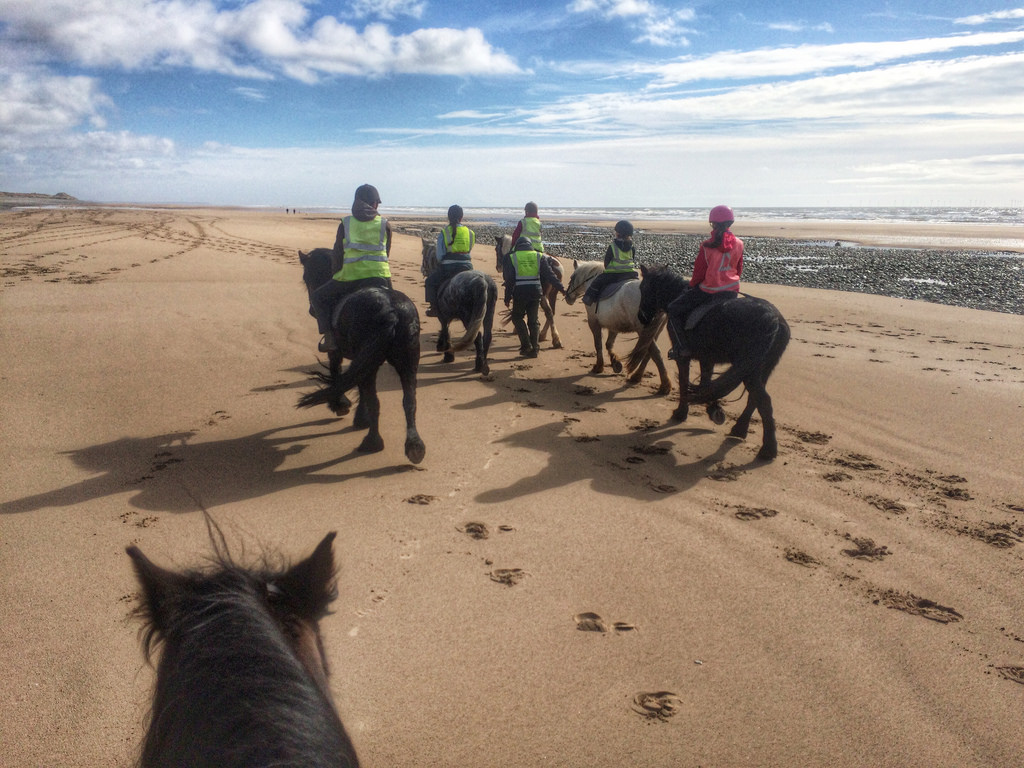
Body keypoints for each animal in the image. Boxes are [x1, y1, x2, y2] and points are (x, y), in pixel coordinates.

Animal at [297, 248, 425, 464]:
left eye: (306, 277)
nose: (311, 309)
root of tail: (392, 311)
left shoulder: (338, 353)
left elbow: (337, 374)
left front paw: (341, 405)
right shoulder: (364, 360)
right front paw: (358, 417)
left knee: (375, 401)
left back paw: (372, 442)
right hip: (408, 362)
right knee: (409, 400)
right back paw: (414, 447)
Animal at [420, 236, 498, 376]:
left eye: (423, 253)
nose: (422, 269)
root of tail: (482, 281)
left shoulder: (443, 317)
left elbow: (445, 331)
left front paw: (447, 354)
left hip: (468, 318)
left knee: (477, 337)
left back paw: (479, 365)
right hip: (489, 313)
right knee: (487, 336)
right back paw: (484, 364)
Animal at [563, 259, 672, 394]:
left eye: (572, 277)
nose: (567, 297)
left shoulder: (593, 322)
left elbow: (598, 344)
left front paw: (599, 366)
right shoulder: (614, 325)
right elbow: (609, 344)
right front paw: (616, 364)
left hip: (643, 330)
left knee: (654, 353)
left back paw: (665, 385)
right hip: (654, 331)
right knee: (649, 353)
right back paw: (637, 377)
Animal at [627, 264, 790, 460]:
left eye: (643, 288)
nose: (642, 317)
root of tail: (774, 319)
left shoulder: (683, 357)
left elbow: (685, 382)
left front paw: (681, 413)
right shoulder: (707, 358)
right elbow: (706, 383)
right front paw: (713, 409)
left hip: (750, 369)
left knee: (763, 400)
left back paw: (768, 449)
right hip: (761, 368)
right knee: (755, 398)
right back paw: (740, 430)